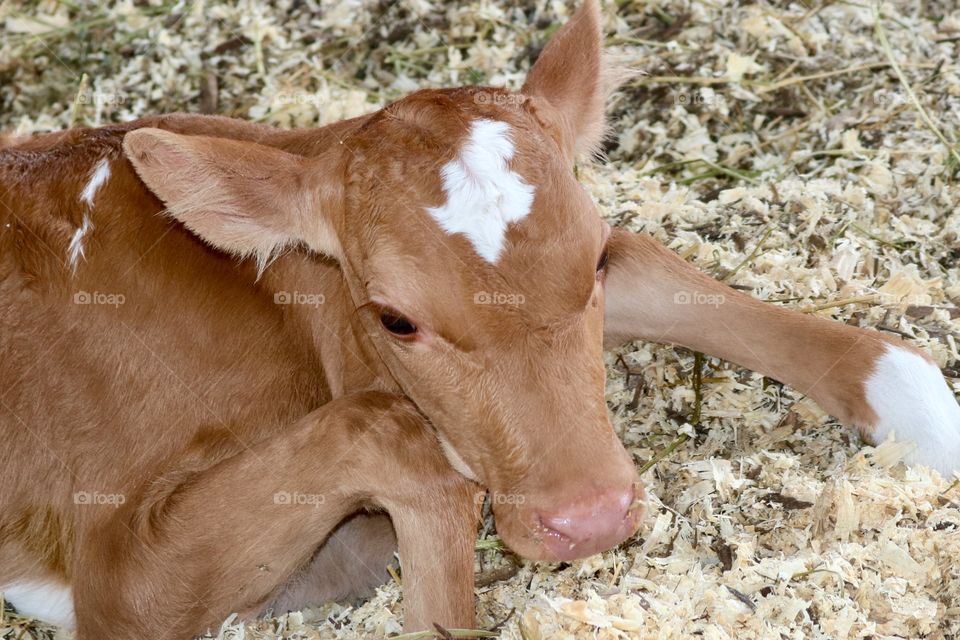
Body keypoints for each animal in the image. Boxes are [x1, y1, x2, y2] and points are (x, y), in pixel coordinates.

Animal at [1, 1, 957, 637]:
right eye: (394, 318)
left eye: (592, 261)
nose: (591, 517)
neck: (287, 316)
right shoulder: (119, 582)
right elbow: (396, 435)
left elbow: (660, 266)